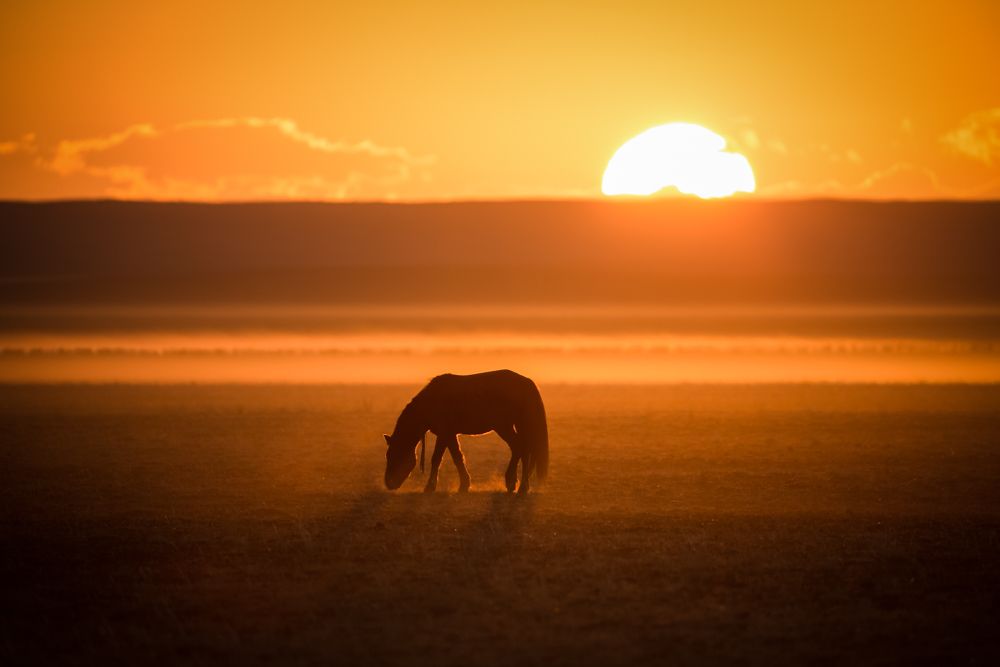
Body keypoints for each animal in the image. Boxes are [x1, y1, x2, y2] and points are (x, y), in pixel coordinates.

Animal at [382, 369, 548, 495]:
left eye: (394, 455)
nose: (389, 483)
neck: (432, 401)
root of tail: (526, 382)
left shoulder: (444, 434)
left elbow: (437, 459)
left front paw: (430, 487)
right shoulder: (450, 434)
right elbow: (457, 457)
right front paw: (464, 485)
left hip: (504, 427)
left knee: (520, 448)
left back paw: (516, 484)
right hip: (514, 426)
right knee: (523, 449)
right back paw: (518, 485)